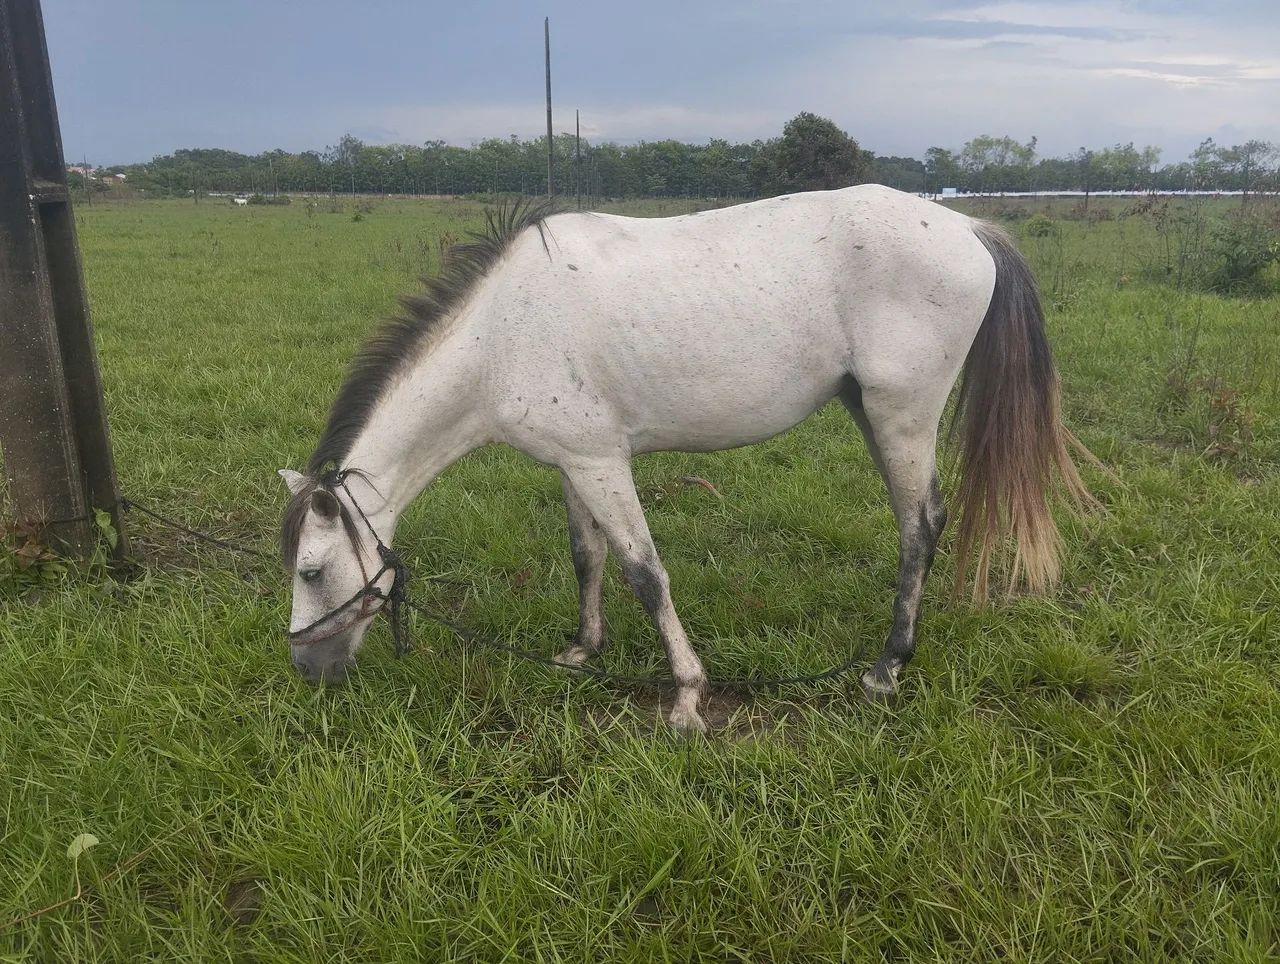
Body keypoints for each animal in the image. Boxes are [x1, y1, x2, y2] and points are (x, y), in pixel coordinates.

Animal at [278, 185, 1089, 733]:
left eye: (311, 571)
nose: (306, 670)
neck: (500, 336)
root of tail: (966, 226)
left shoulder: (603, 464)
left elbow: (645, 573)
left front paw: (688, 698)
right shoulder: (574, 462)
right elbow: (587, 556)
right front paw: (582, 650)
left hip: (902, 416)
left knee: (921, 525)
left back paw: (888, 667)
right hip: (871, 411)